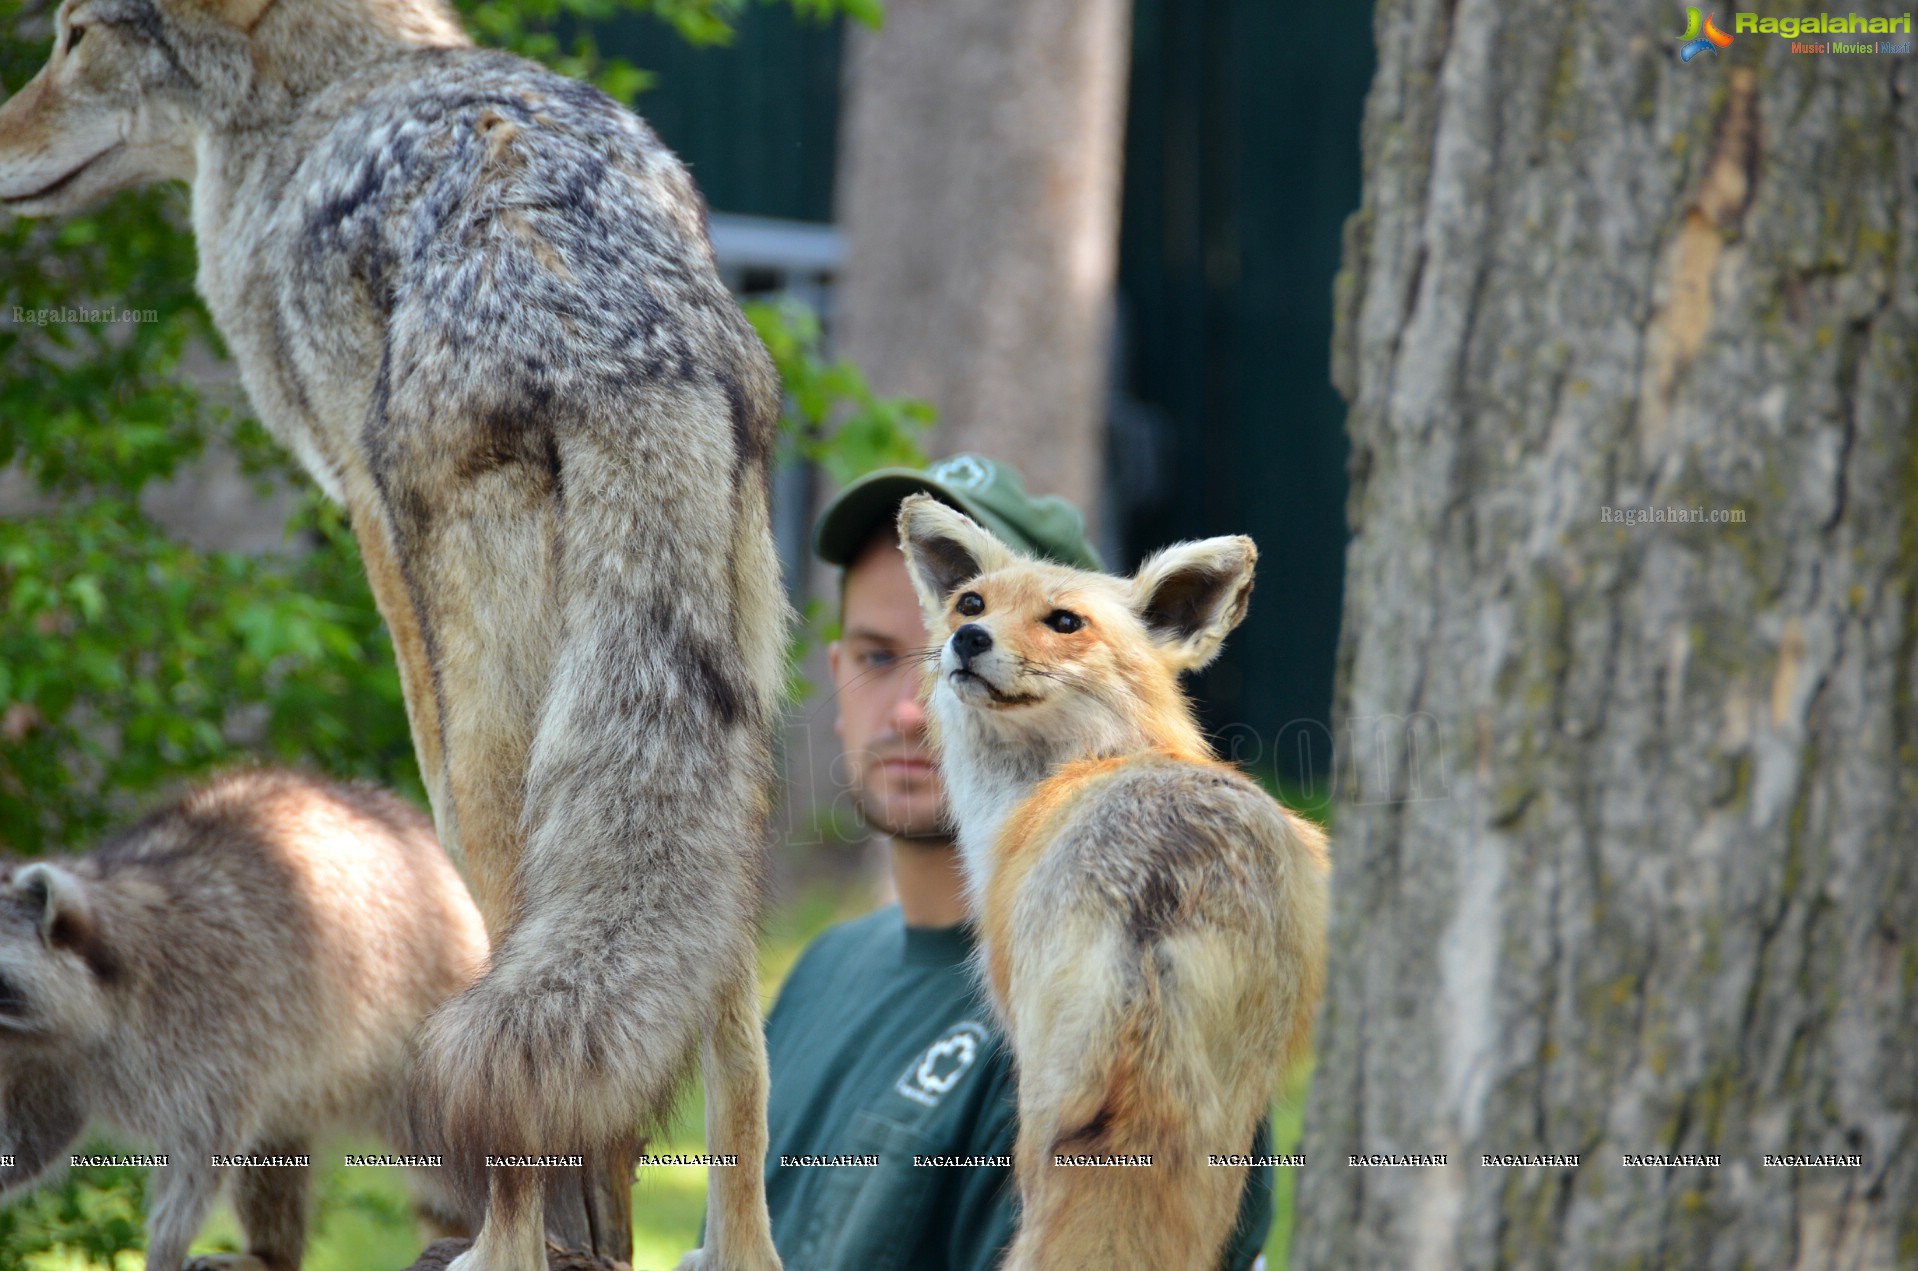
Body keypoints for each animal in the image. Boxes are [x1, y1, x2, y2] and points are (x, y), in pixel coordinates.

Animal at [0, 766, 487, 1271]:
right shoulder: (46, 1062)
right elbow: (32, 1136)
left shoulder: (205, 1028)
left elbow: (199, 1157)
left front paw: (165, 1247)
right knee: (274, 1144)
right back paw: (272, 1253)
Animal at [893, 494, 1319, 1271]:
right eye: (972, 601)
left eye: (1064, 622)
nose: (967, 637)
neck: (1090, 759)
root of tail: (1158, 877)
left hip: (1041, 1103)